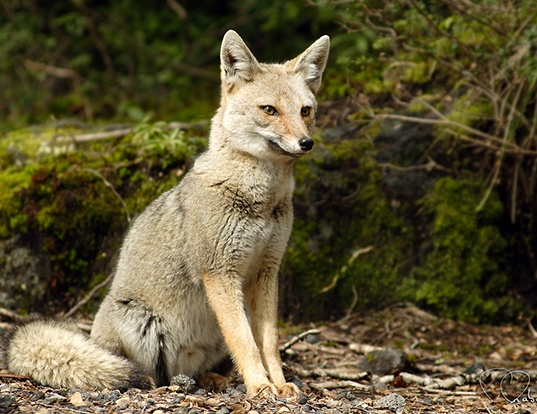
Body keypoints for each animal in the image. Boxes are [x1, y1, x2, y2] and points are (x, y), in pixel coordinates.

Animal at [6, 29, 328, 402]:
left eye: (305, 111)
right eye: (269, 110)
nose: (306, 143)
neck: (260, 199)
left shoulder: (266, 272)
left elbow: (269, 342)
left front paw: (278, 383)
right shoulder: (219, 273)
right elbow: (245, 342)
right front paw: (260, 386)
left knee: (195, 371)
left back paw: (212, 380)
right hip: (141, 324)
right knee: (149, 373)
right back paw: (153, 382)